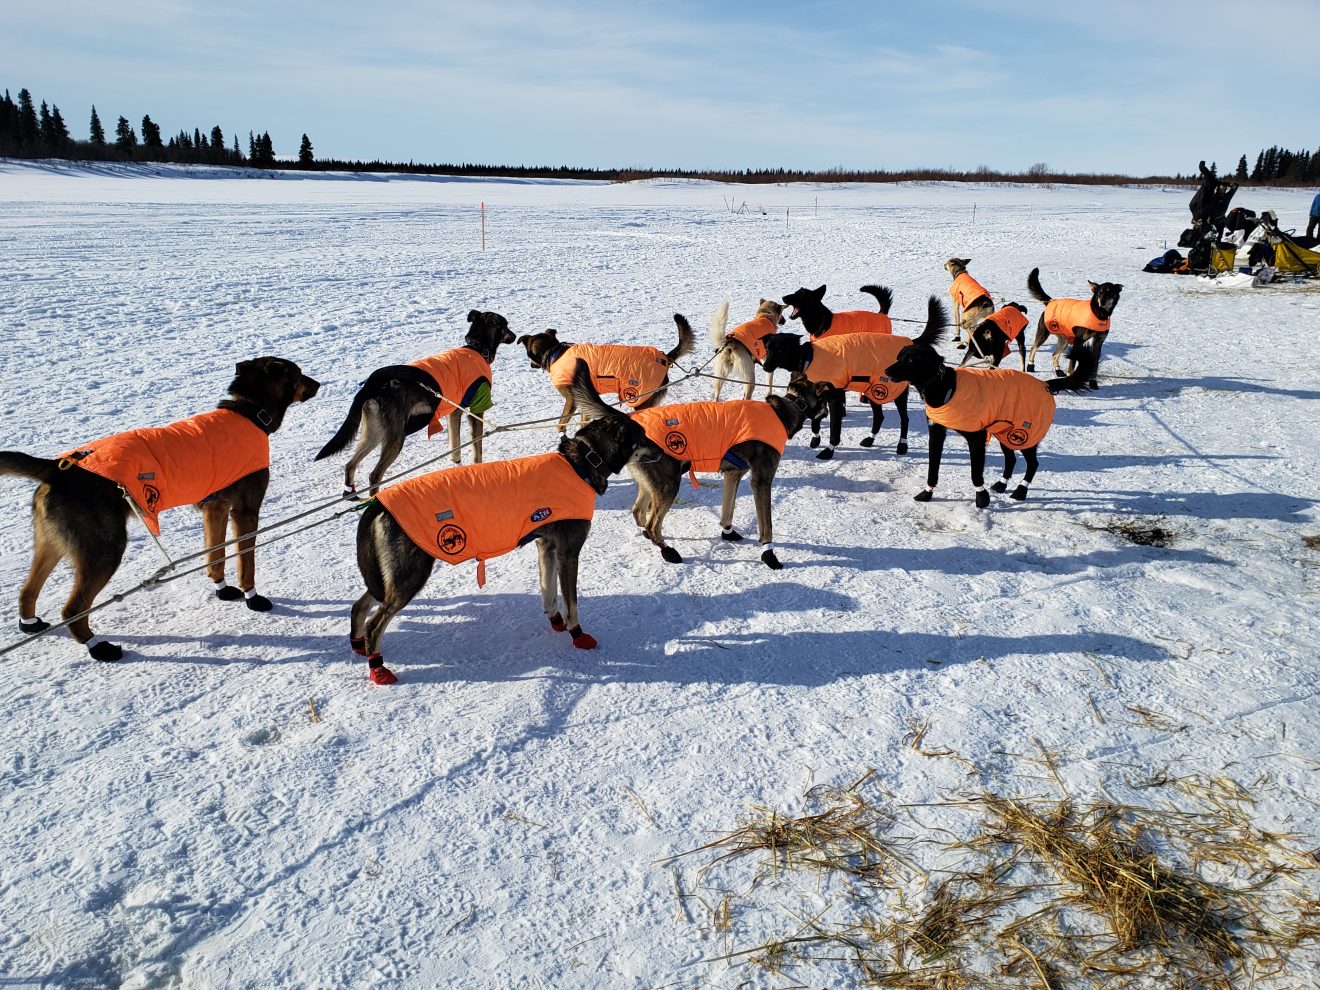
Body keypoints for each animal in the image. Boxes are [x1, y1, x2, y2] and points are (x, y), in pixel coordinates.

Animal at [0, 361, 319, 662]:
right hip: (104, 551)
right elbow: (245, 563)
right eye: (298, 373)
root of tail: (56, 468)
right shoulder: (245, 511)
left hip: (52, 544)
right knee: (72, 609)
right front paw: (252, 597)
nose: (318, 383)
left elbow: (215, 556)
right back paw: (98, 647)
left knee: (27, 590)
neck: (250, 413)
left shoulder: (215, 508)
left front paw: (222, 588)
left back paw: (30, 622)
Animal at [314, 310, 514, 496]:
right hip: (396, 437)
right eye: (506, 325)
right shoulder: (477, 409)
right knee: (374, 475)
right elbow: (477, 449)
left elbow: (455, 447)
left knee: (350, 464)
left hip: (375, 432)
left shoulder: (454, 412)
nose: (514, 335)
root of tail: (374, 382)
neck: (477, 348)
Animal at [520, 315, 696, 427]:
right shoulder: (584, 398)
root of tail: (664, 358)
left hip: (638, 398)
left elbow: (561, 423)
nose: (530, 365)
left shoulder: (571, 400)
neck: (554, 353)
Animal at [623, 380, 818, 572]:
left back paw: (649, 536)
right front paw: (769, 554)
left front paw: (727, 532)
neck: (780, 413)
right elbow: (766, 526)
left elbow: (728, 510)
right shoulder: (761, 482)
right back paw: (668, 551)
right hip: (669, 485)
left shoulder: (733, 475)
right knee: (652, 524)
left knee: (638, 511)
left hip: (652, 484)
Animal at [887, 298, 1092, 506]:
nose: (887, 371)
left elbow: (975, 473)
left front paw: (981, 498)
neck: (945, 387)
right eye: (900, 356)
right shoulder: (936, 434)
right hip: (1005, 434)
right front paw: (927, 493)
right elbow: (933, 469)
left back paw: (1021, 491)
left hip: (1024, 436)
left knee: (1033, 463)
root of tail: (1045, 384)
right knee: (1011, 460)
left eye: (911, 360)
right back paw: (1002, 485)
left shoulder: (976, 438)